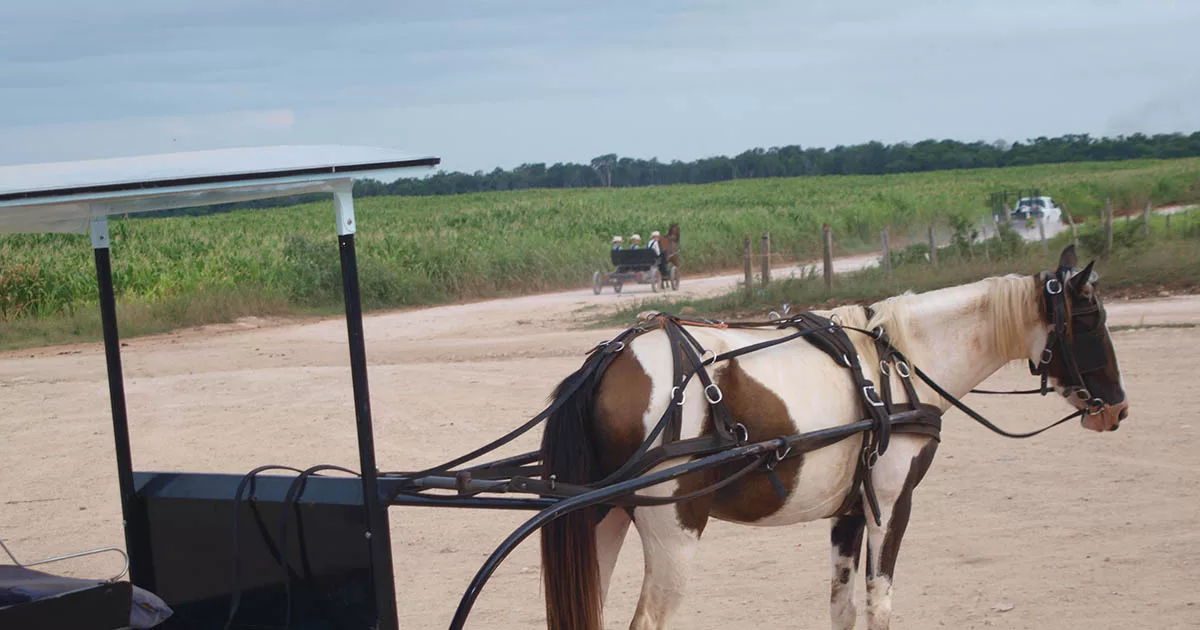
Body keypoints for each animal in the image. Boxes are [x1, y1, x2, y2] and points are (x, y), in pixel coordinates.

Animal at [540, 246, 1128, 628]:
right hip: (673, 533)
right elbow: (879, 602)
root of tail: (609, 361)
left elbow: (841, 607)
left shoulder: (848, 510)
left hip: (603, 518)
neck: (898, 363)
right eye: (1091, 318)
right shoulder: (890, 503)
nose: (1118, 409)